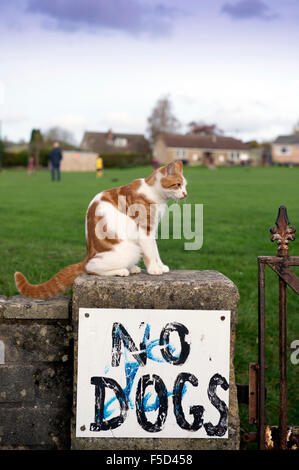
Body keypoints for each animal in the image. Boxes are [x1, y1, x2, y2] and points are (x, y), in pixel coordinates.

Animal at [14, 162, 188, 300]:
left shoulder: (152, 231)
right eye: (178, 185)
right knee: (91, 268)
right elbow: (151, 253)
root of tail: (87, 255)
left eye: (185, 185)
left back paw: (132, 268)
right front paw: (154, 269)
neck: (154, 193)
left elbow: (155, 251)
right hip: (128, 250)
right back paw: (121, 271)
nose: (185, 194)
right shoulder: (144, 231)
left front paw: (161, 266)